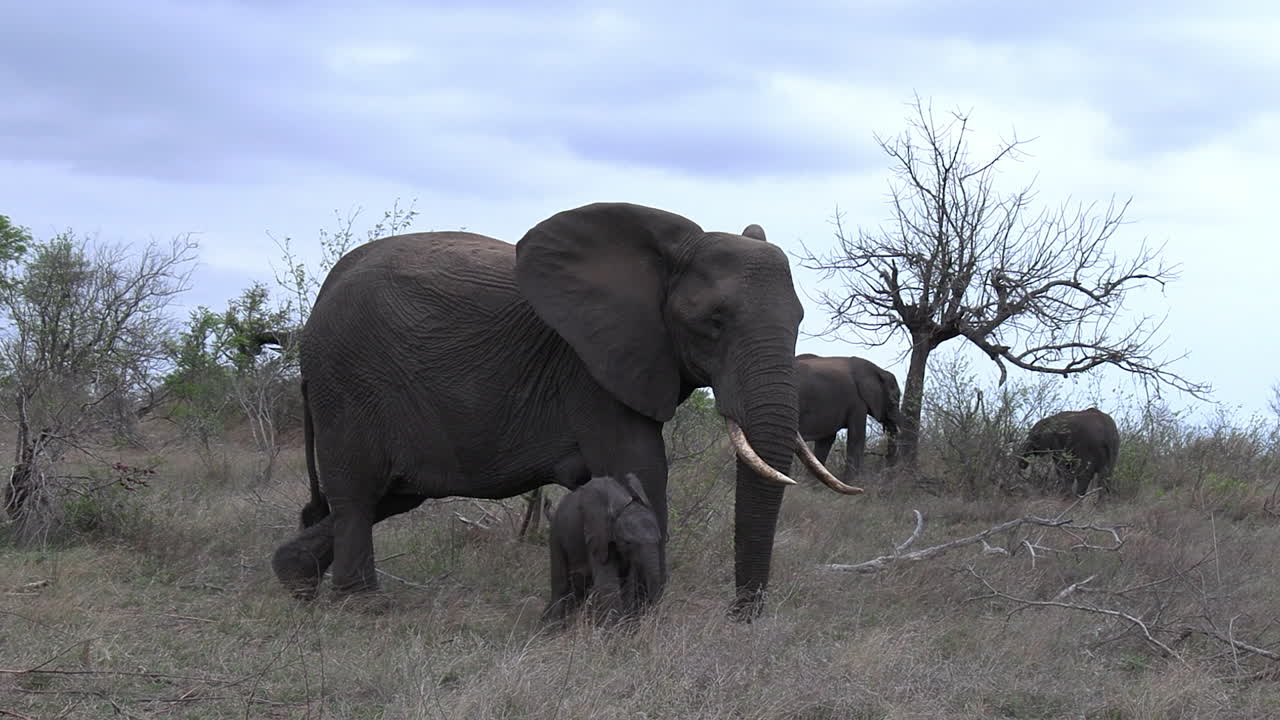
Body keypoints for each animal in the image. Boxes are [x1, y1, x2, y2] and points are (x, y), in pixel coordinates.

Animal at [543, 473, 663, 624]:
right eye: (629, 542)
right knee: (561, 585)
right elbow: (607, 583)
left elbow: (627, 581)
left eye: (659, 539)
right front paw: (616, 627)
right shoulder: (597, 535)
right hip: (556, 536)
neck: (620, 505)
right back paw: (551, 624)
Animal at [795, 354, 904, 484]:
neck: (878, 370)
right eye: (894, 400)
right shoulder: (857, 401)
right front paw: (853, 483)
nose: (886, 475)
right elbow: (857, 437)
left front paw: (812, 485)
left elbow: (826, 440)